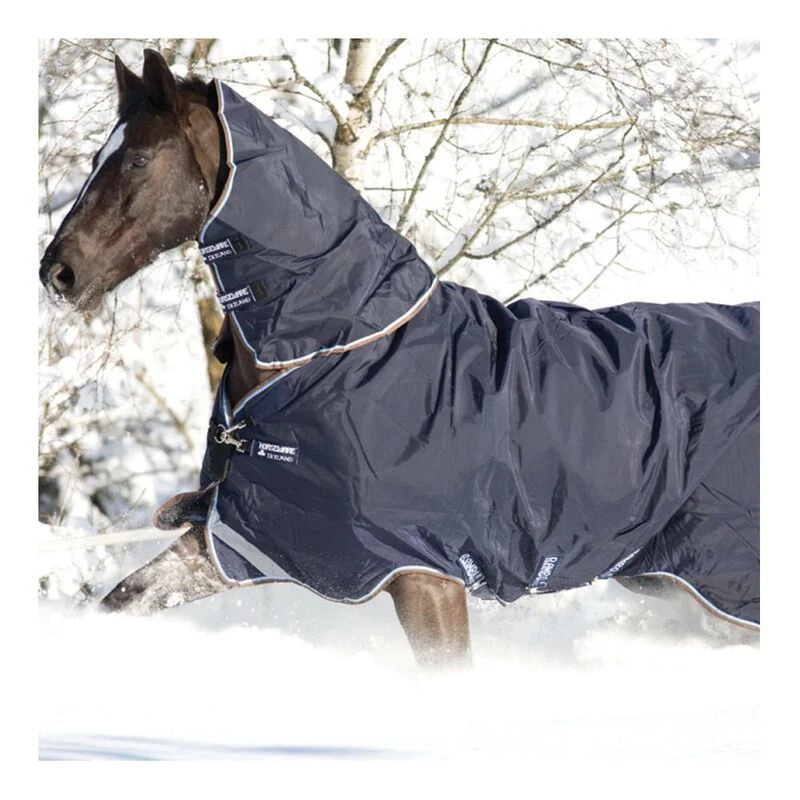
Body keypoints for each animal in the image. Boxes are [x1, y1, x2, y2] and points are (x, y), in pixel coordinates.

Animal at [40, 49, 760, 669]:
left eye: (137, 160)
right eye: (102, 155)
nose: (59, 272)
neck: (329, 355)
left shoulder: (424, 577)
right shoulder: (247, 539)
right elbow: (127, 598)